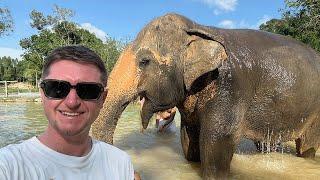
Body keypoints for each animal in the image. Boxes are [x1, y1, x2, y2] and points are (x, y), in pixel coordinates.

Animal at [91, 13, 320, 179]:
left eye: (144, 61)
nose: (137, 172)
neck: (198, 29)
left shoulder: (228, 88)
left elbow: (217, 143)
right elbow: (189, 139)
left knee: (308, 144)